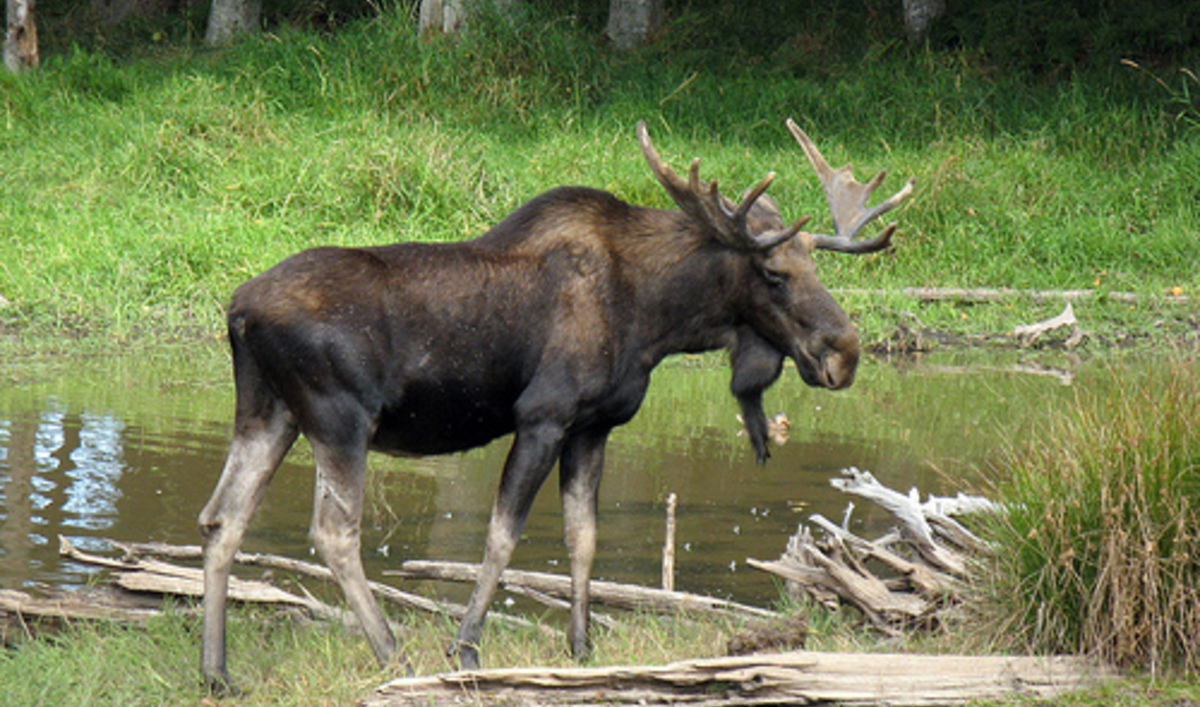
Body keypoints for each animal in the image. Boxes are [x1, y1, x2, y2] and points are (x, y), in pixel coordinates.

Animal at [197, 118, 914, 692]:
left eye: (817, 266)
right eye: (774, 275)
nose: (845, 352)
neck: (660, 320)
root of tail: (236, 311)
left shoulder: (594, 426)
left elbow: (582, 537)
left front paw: (582, 646)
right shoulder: (542, 415)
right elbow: (503, 535)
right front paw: (465, 648)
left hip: (268, 413)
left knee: (222, 518)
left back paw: (217, 671)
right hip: (338, 418)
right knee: (334, 531)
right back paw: (393, 653)